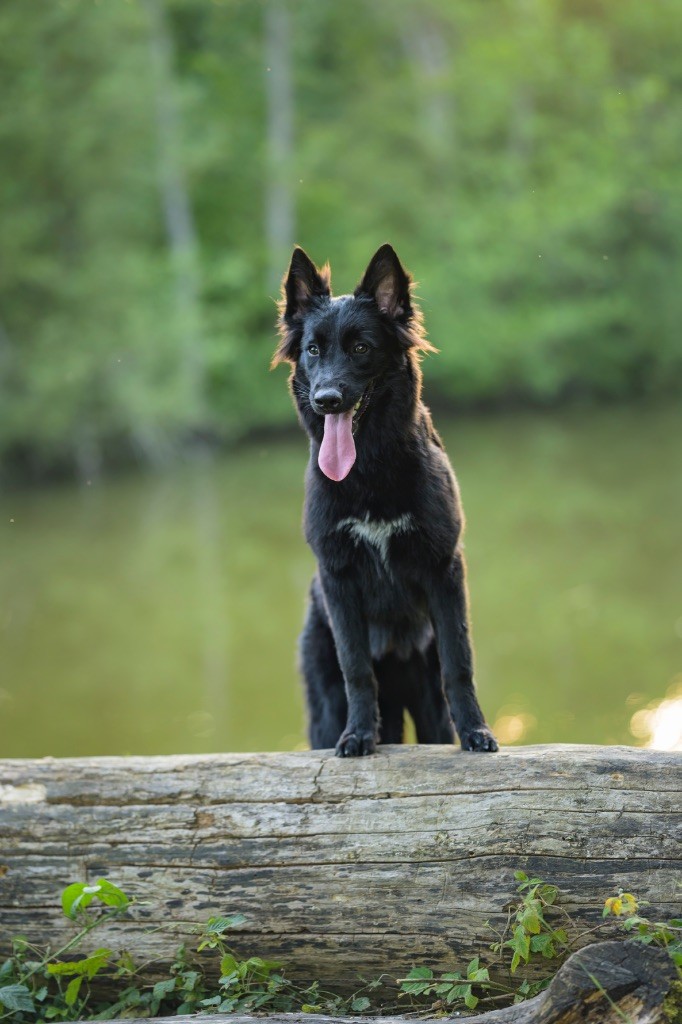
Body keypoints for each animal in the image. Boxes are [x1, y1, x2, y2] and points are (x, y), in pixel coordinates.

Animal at [272, 243, 499, 757]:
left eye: (361, 347)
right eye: (313, 350)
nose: (327, 399)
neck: (369, 473)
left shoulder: (444, 570)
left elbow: (459, 661)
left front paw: (476, 731)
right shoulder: (338, 577)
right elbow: (357, 668)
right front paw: (358, 735)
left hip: (426, 702)